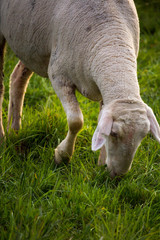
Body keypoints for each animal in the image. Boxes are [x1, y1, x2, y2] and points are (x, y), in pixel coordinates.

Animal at [0, 0, 160, 177]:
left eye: (143, 136)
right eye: (114, 133)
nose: (118, 175)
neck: (109, 40)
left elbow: (100, 118)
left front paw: (101, 164)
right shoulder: (58, 75)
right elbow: (76, 121)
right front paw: (62, 156)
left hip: (31, 44)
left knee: (17, 76)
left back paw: (14, 132)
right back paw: (2, 138)